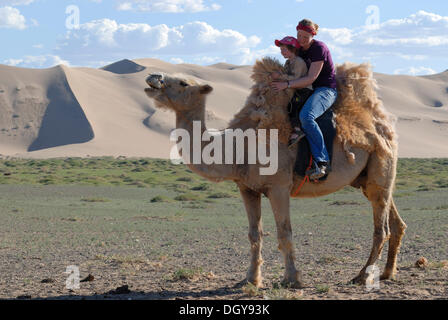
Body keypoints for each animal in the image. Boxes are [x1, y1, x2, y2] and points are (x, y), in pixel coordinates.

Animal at [144, 57, 406, 290]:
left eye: (183, 83)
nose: (152, 77)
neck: (238, 146)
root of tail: (384, 123)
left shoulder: (279, 187)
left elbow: (284, 233)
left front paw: (291, 279)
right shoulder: (247, 188)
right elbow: (254, 234)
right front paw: (250, 279)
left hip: (380, 166)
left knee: (381, 228)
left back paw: (362, 276)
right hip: (368, 178)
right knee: (395, 221)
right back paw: (386, 273)